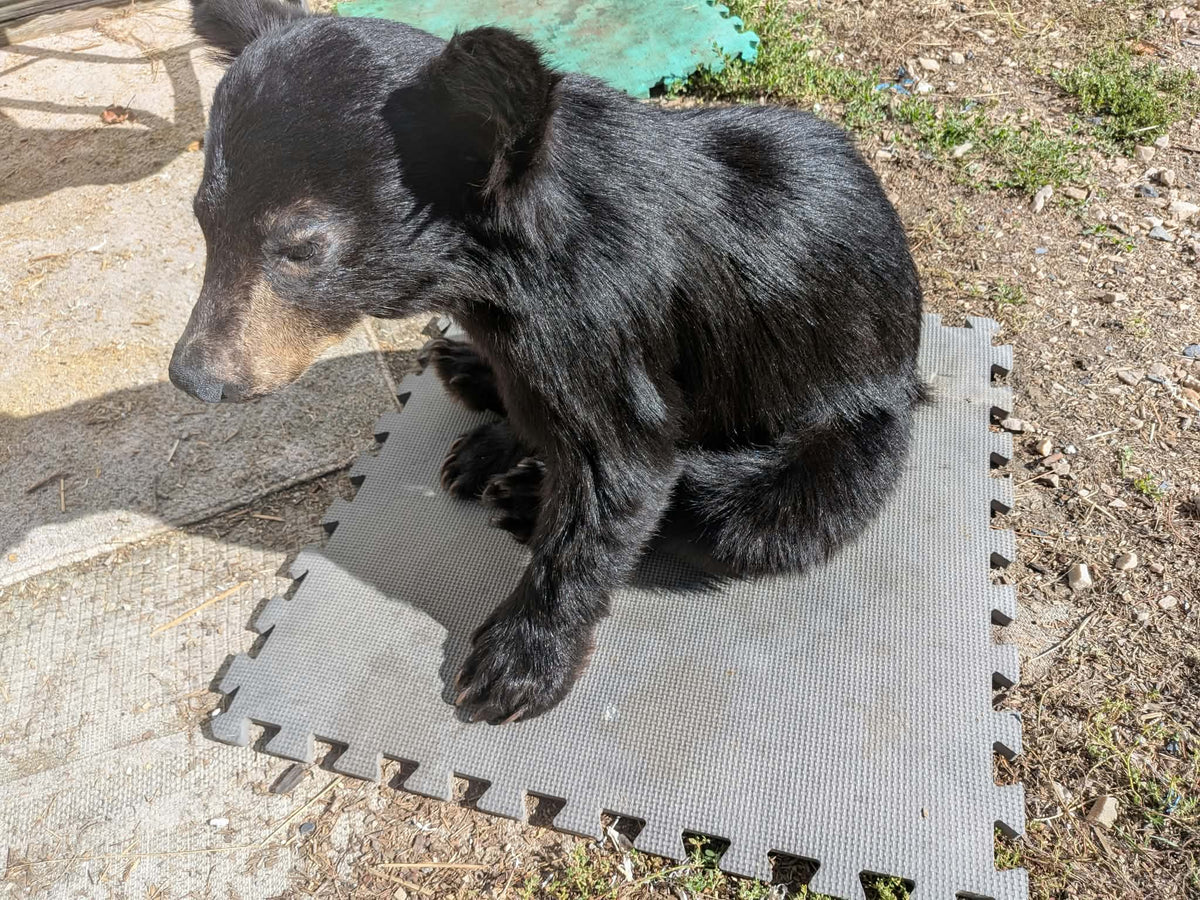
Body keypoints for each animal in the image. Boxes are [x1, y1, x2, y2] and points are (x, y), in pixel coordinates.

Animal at [169, 0, 925, 724]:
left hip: (846, 435)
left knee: (748, 510)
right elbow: (535, 402)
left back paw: (527, 498)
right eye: (201, 219)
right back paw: (469, 379)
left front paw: (517, 664)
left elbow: (620, 479)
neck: (497, 276)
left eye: (301, 247)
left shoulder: (604, 323)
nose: (194, 378)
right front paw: (490, 440)